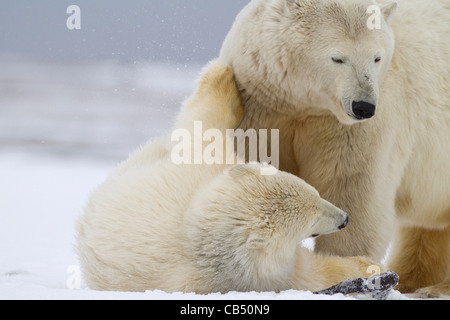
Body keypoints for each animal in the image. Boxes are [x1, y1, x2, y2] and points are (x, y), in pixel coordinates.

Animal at [76, 61, 380, 294]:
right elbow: (313, 273)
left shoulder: (207, 171)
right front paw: (368, 267)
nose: (345, 218)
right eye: (313, 219)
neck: (196, 227)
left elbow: (202, 133)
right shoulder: (251, 276)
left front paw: (221, 75)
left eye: (317, 193)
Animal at [219, 0, 450, 298]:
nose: (363, 106)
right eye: (338, 58)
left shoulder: (355, 128)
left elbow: (352, 190)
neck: (306, 106)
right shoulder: (261, 105)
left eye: (377, 57)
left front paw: (350, 270)